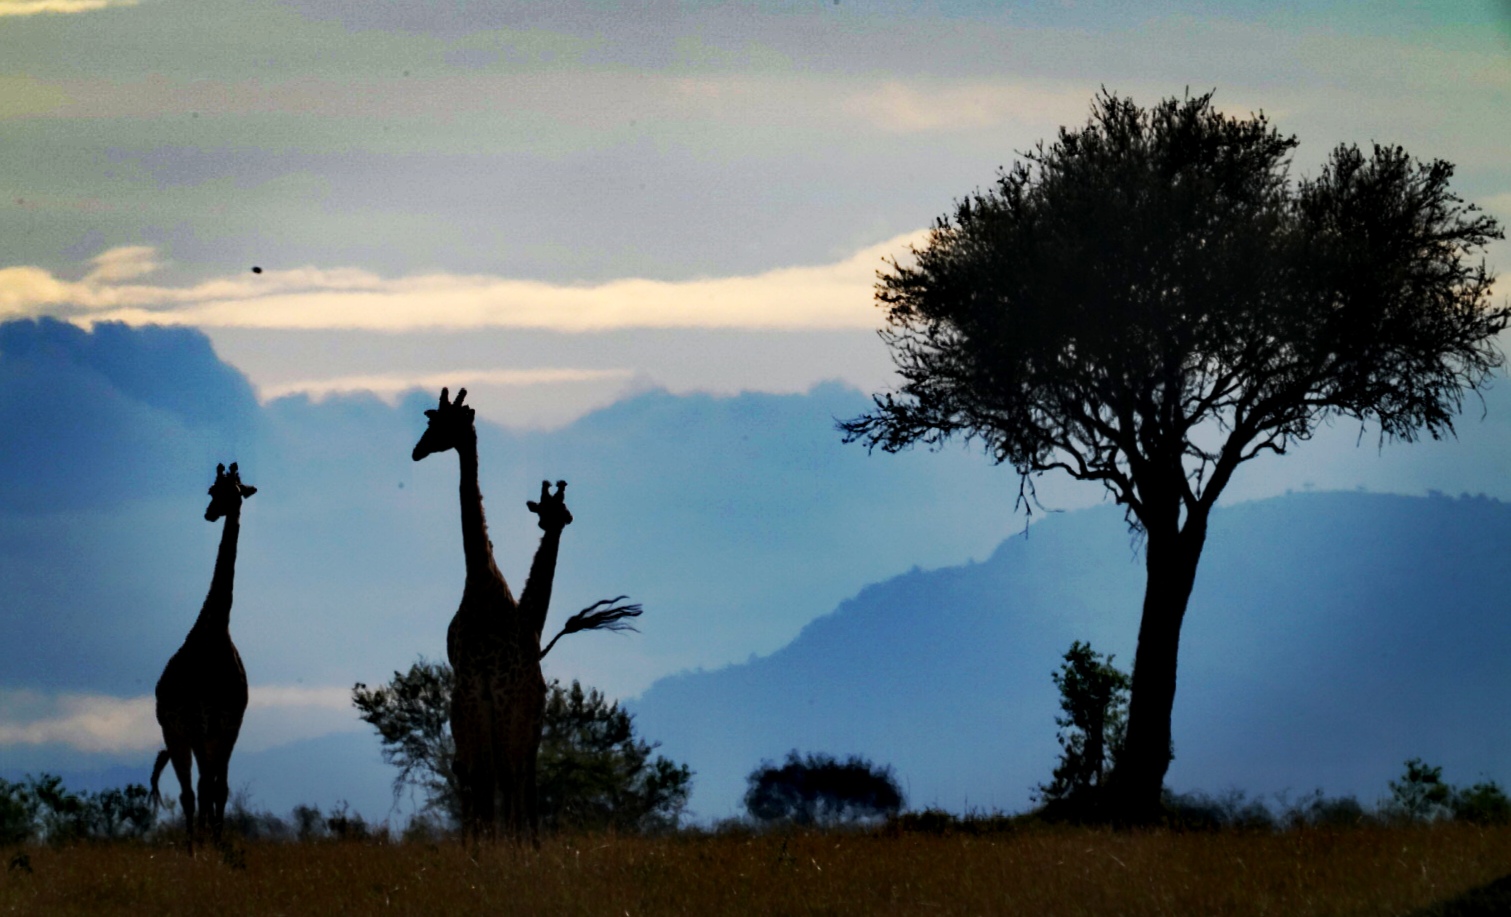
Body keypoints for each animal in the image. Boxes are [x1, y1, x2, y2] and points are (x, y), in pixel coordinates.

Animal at [148, 462, 255, 858]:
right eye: (212, 490)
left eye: (235, 491)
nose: (210, 514)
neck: (215, 633)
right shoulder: (196, 723)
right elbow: (201, 790)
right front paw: (202, 849)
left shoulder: (229, 725)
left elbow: (220, 789)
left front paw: (220, 844)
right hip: (173, 731)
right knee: (187, 792)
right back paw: (192, 847)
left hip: (201, 736)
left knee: (205, 787)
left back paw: (207, 839)